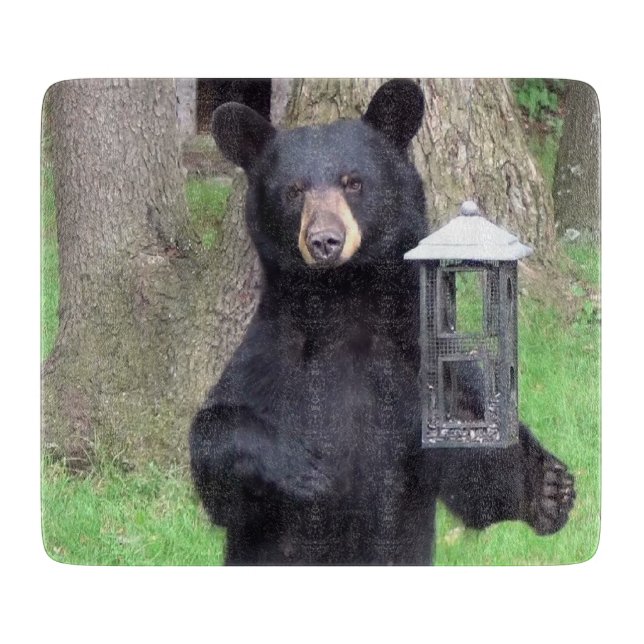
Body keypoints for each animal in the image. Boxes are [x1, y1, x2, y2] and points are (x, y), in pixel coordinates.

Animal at [189, 79, 575, 565]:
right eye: (294, 190)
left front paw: (547, 487)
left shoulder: (418, 357)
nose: (325, 241)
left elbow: (471, 459)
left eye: (353, 182)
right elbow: (217, 444)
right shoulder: (272, 355)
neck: (343, 299)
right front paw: (304, 468)